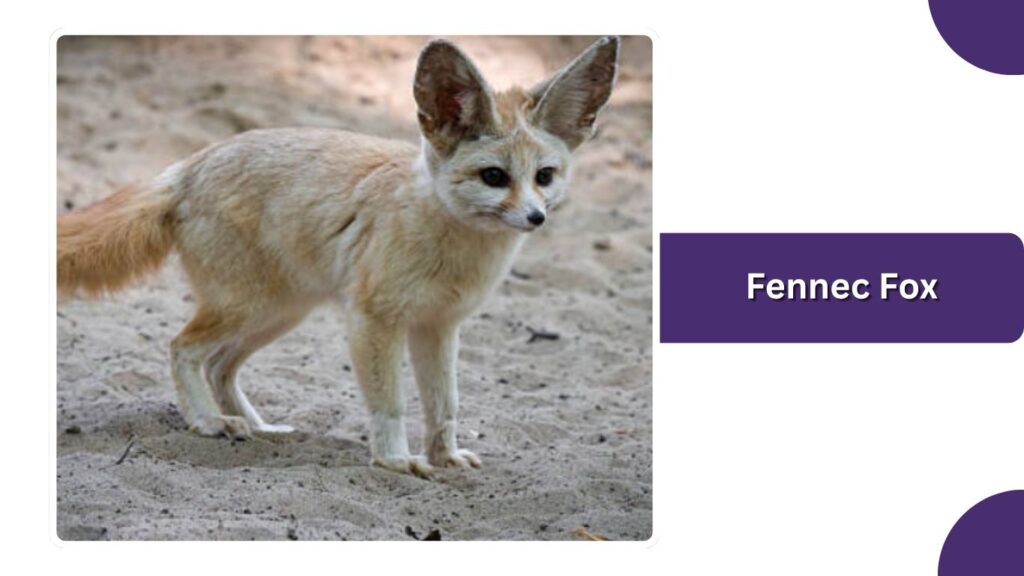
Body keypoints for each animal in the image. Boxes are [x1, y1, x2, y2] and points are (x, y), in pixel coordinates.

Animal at [57, 36, 619, 477]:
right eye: (494, 177)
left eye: (544, 176)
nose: (535, 217)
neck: (451, 241)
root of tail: (190, 163)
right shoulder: (376, 322)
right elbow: (390, 404)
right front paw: (395, 460)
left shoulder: (438, 326)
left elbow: (445, 405)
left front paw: (445, 457)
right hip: (248, 308)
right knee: (183, 349)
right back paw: (209, 423)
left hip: (279, 313)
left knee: (219, 366)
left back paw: (259, 427)